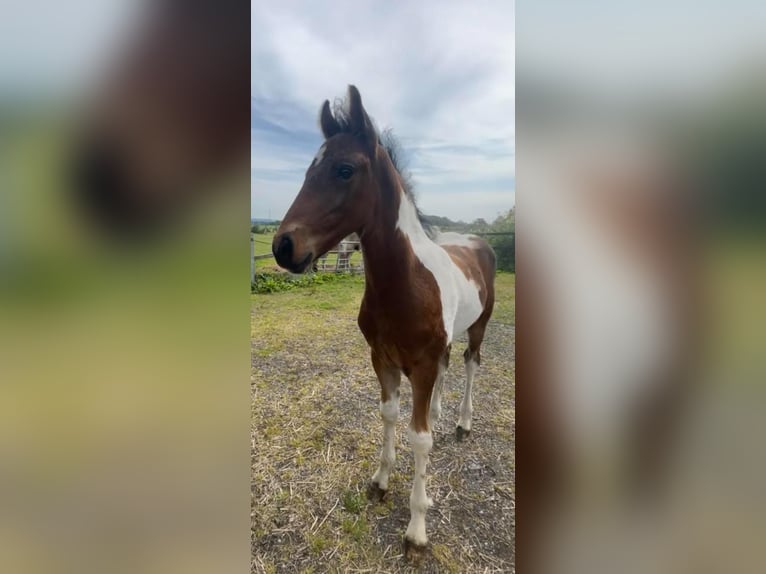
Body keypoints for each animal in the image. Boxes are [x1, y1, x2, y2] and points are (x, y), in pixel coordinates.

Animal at [272, 85, 496, 552]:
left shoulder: (421, 364)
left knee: (470, 365)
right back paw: (442, 411)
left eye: (344, 170)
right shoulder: (383, 359)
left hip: (479, 326)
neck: (406, 283)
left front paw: (417, 528)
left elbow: (420, 437)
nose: (283, 247)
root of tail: (476, 240)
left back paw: (463, 422)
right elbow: (391, 415)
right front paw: (379, 482)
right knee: (450, 368)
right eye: (308, 169)